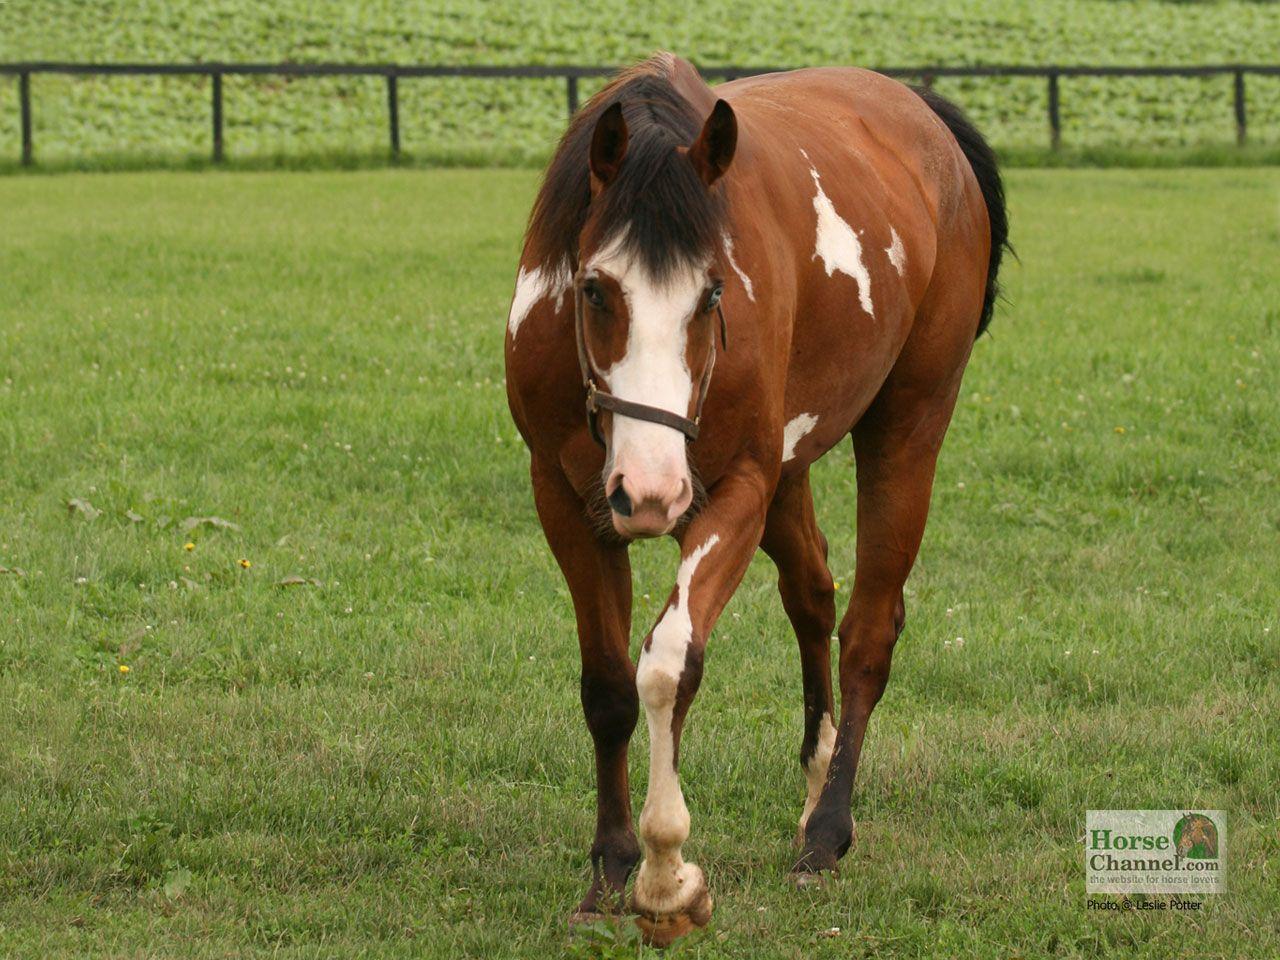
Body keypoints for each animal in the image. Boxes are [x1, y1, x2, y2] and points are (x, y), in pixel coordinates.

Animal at [504, 52, 1008, 945]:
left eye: (712, 294)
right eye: (595, 290)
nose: (652, 490)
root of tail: (922, 116)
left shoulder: (734, 492)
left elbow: (669, 666)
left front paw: (667, 877)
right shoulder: (565, 502)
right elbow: (607, 688)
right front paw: (610, 866)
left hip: (908, 425)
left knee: (867, 630)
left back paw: (828, 831)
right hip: (789, 473)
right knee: (813, 593)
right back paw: (816, 780)